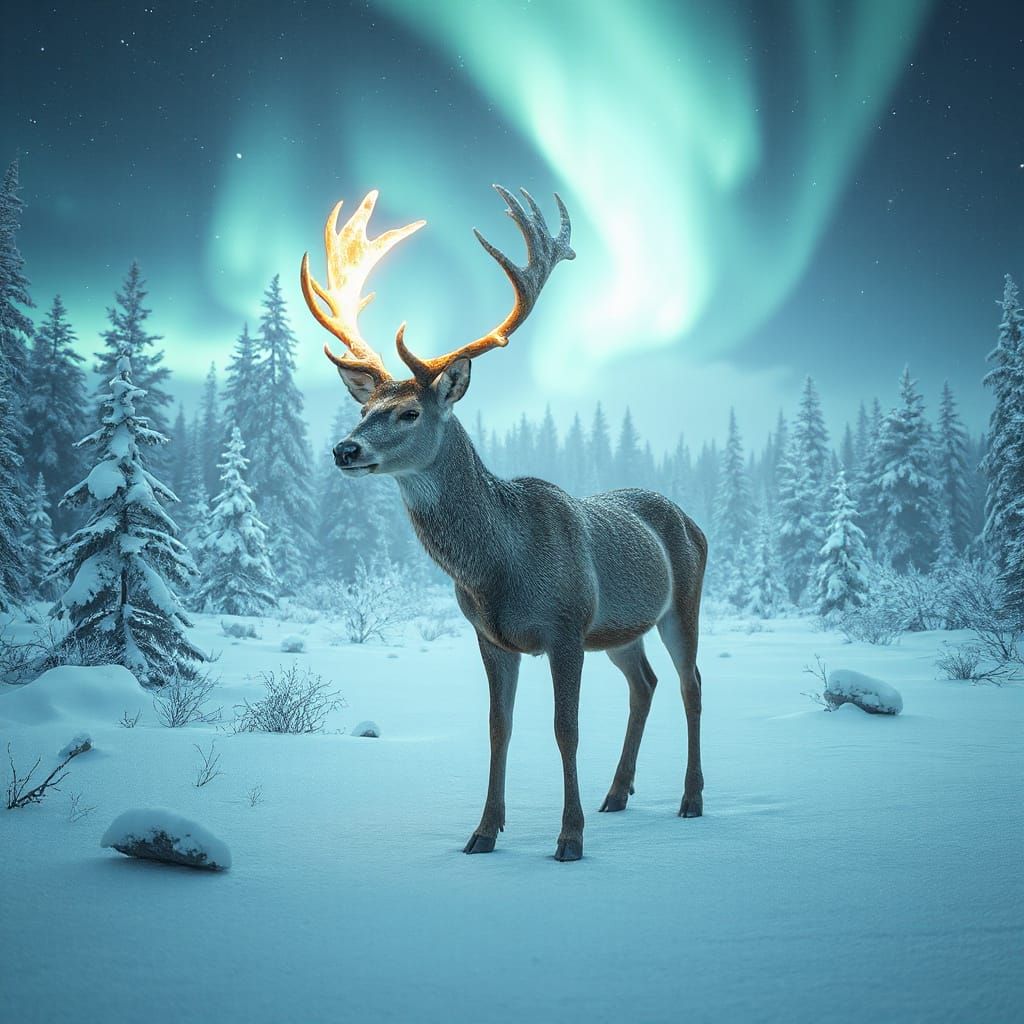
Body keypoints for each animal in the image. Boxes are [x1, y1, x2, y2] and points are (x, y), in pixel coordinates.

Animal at [300, 186, 707, 861]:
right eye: (363, 408)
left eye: (409, 412)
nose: (344, 450)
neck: (500, 566)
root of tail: (691, 519)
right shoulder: (491, 636)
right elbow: (499, 727)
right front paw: (484, 832)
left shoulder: (566, 625)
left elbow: (565, 728)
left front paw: (569, 838)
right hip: (619, 629)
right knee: (645, 683)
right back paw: (617, 793)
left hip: (685, 602)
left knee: (690, 682)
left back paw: (692, 799)